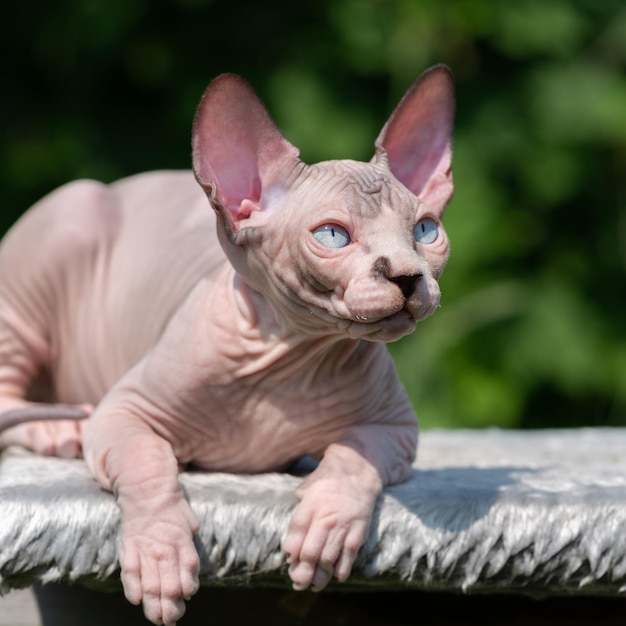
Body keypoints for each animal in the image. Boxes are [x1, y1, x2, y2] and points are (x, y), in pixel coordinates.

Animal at [0, 66, 450, 620]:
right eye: (332, 236)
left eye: (426, 230)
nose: (409, 278)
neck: (292, 352)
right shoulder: (121, 413)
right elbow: (147, 465)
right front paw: (161, 556)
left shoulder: (397, 429)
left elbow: (356, 456)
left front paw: (325, 525)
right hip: (52, 248)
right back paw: (54, 431)